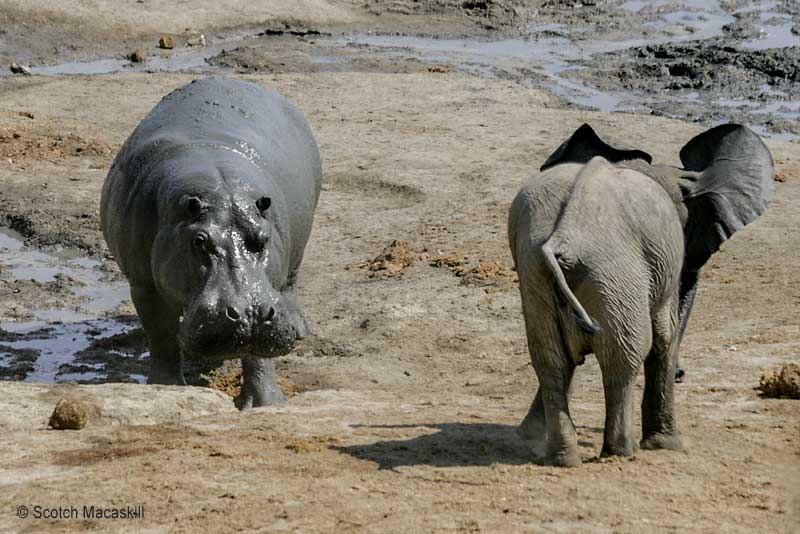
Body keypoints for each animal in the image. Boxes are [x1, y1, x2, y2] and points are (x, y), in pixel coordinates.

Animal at [101, 76, 322, 410]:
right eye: (199, 240)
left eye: (264, 237)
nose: (249, 312)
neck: (221, 189)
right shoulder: (143, 284)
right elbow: (161, 336)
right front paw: (166, 390)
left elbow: (258, 354)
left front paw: (267, 403)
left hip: (297, 252)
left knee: (291, 284)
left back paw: (298, 327)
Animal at [506, 123, 776, 466]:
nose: (682, 374)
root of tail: (564, 237)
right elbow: (664, 336)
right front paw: (668, 446)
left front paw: (529, 434)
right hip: (617, 274)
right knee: (624, 356)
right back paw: (622, 452)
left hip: (538, 273)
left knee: (550, 359)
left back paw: (562, 458)